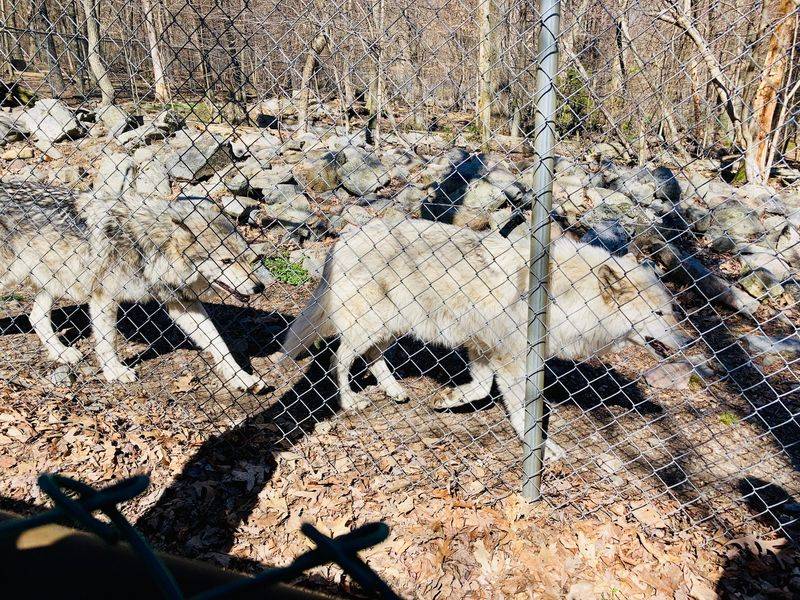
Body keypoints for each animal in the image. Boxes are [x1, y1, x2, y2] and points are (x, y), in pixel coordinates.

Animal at [0, 181, 270, 391]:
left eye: (246, 257)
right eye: (226, 261)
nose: (259, 287)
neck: (147, 245)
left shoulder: (182, 304)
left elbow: (219, 343)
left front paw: (243, 378)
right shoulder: (104, 297)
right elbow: (107, 342)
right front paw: (115, 372)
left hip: (52, 283)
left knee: (36, 318)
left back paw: (62, 353)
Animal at [273, 217, 688, 440]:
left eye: (672, 311)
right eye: (658, 313)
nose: (686, 341)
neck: (564, 297)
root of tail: (345, 237)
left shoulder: (486, 350)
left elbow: (481, 388)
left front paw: (448, 399)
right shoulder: (509, 359)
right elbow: (520, 409)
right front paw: (540, 446)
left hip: (389, 326)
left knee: (374, 360)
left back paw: (395, 391)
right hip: (369, 326)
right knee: (338, 360)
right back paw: (348, 402)